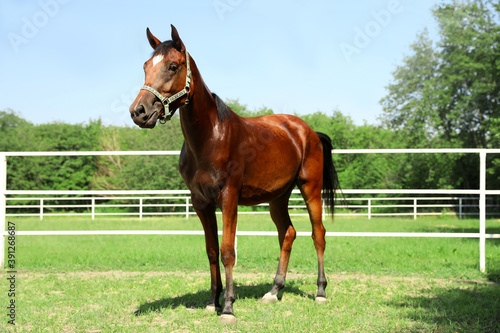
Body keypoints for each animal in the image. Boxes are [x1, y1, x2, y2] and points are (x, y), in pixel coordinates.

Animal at [129, 24, 342, 322]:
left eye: (172, 66)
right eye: (146, 66)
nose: (139, 111)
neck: (210, 138)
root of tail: (307, 130)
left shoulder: (229, 198)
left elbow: (228, 251)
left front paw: (228, 307)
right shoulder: (201, 203)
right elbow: (211, 251)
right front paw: (212, 301)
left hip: (310, 187)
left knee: (318, 234)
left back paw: (321, 292)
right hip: (278, 197)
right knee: (287, 233)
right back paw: (274, 291)